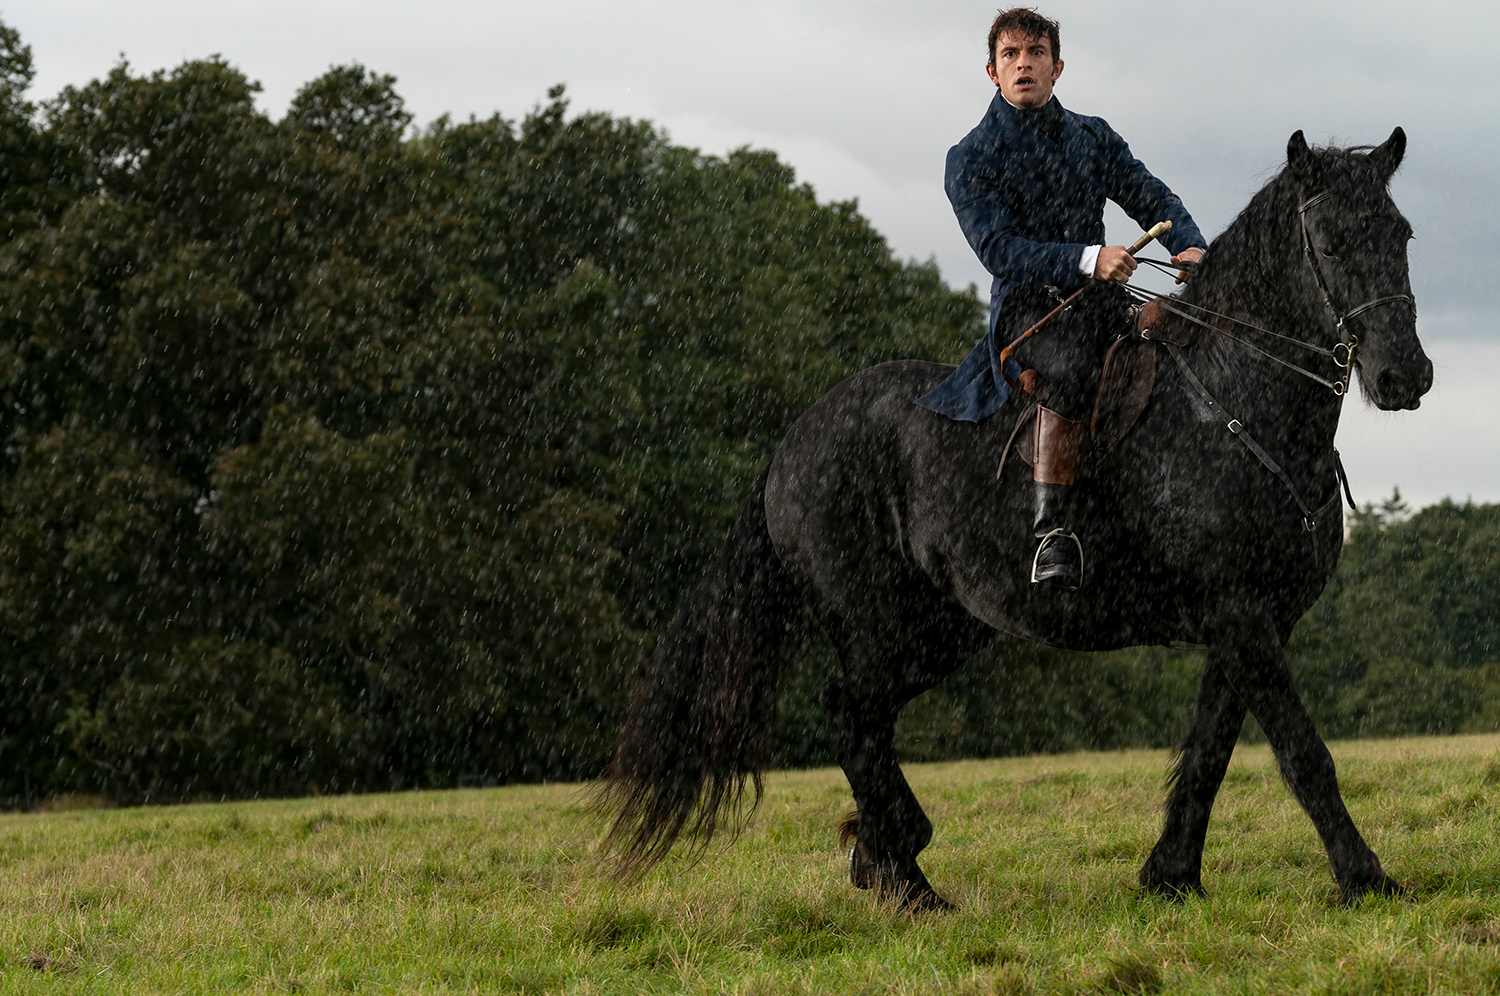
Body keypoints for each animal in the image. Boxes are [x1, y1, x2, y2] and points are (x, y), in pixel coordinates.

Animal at [594, 130, 1428, 912]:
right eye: (1330, 243)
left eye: (1402, 234)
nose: (1403, 376)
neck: (1232, 403)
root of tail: (792, 442)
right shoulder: (1239, 617)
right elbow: (1302, 752)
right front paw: (1367, 879)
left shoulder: (1252, 621)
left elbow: (1210, 752)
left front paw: (1172, 875)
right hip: (879, 623)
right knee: (850, 713)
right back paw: (908, 879)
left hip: (942, 630)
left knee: (868, 718)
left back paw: (885, 855)